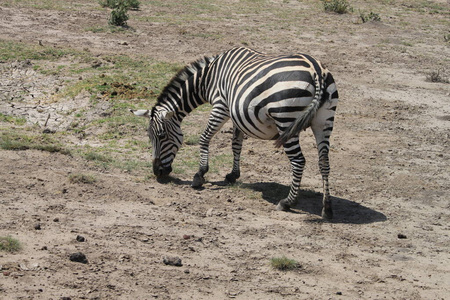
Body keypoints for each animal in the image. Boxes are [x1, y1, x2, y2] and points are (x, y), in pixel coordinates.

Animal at [132, 47, 340, 220]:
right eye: (149, 138)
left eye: (161, 137)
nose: (157, 173)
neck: (208, 78)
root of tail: (316, 70)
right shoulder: (237, 112)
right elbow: (236, 144)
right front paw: (233, 175)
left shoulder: (221, 106)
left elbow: (204, 137)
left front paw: (199, 175)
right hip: (324, 121)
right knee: (324, 162)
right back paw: (327, 208)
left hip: (285, 119)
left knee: (298, 161)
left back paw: (287, 202)